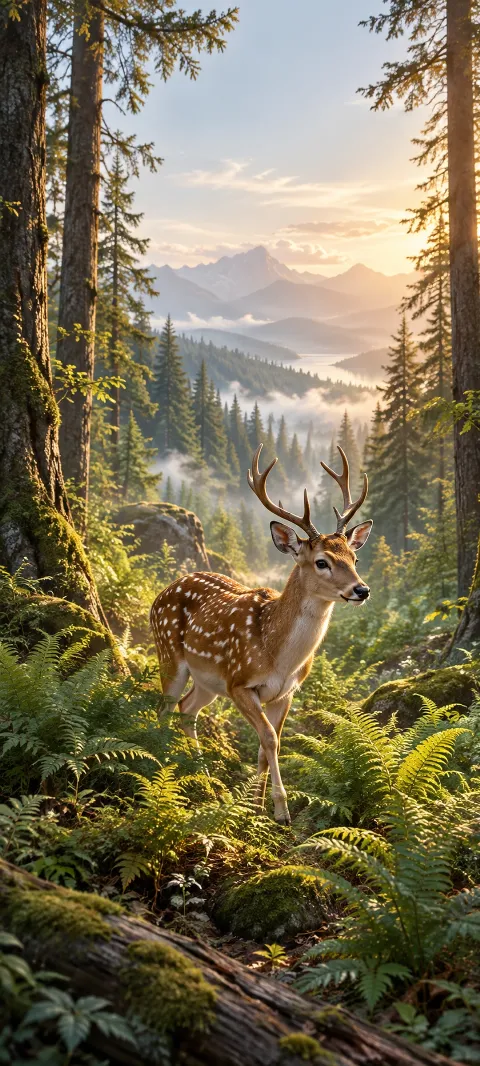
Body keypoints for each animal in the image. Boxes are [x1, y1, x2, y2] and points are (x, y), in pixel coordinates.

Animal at [151, 445, 372, 825]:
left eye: (354, 557)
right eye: (322, 562)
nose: (362, 590)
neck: (278, 656)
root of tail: (161, 593)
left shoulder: (287, 692)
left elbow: (267, 744)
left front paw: (254, 808)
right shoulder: (239, 682)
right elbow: (269, 738)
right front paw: (281, 811)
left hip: (208, 681)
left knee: (186, 709)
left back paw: (205, 779)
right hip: (170, 655)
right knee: (164, 710)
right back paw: (168, 773)